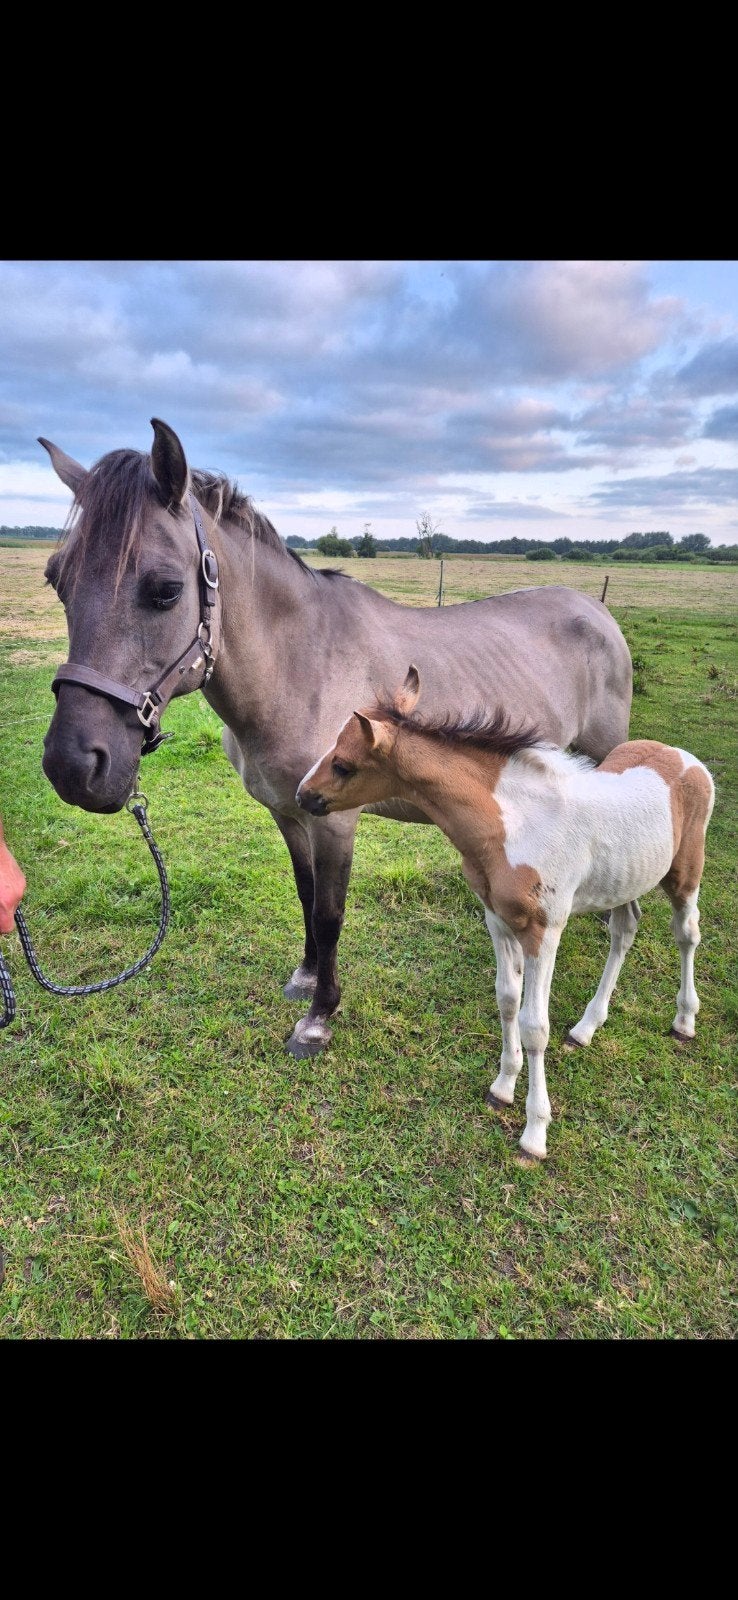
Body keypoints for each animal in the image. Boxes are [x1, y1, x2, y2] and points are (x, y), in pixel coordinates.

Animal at [39, 418, 634, 1060]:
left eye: (166, 590)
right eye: (57, 581)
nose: (74, 766)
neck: (299, 666)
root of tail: (596, 610)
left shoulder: (335, 821)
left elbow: (329, 914)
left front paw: (319, 1017)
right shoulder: (288, 811)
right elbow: (305, 895)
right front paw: (305, 978)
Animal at [296, 666, 714, 1158]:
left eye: (343, 764)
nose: (303, 795)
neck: (514, 825)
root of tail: (682, 757)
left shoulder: (544, 930)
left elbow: (535, 1026)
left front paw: (535, 1132)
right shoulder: (497, 919)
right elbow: (507, 1001)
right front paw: (502, 1086)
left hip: (685, 873)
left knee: (687, 933)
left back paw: (685, 1020)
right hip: (625, 879)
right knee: (625, 930)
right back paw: (587, 1027)